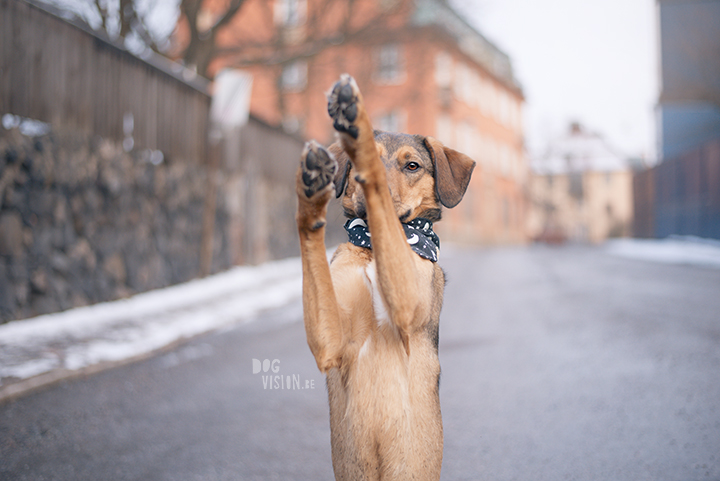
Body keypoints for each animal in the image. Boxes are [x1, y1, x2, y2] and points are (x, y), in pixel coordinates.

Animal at [296, 73, 476, 478]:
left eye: (412, 166)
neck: (373, 247)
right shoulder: (329, 343)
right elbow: (309, 235)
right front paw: (310, 191)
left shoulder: (407, 304)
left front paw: (356, 122)